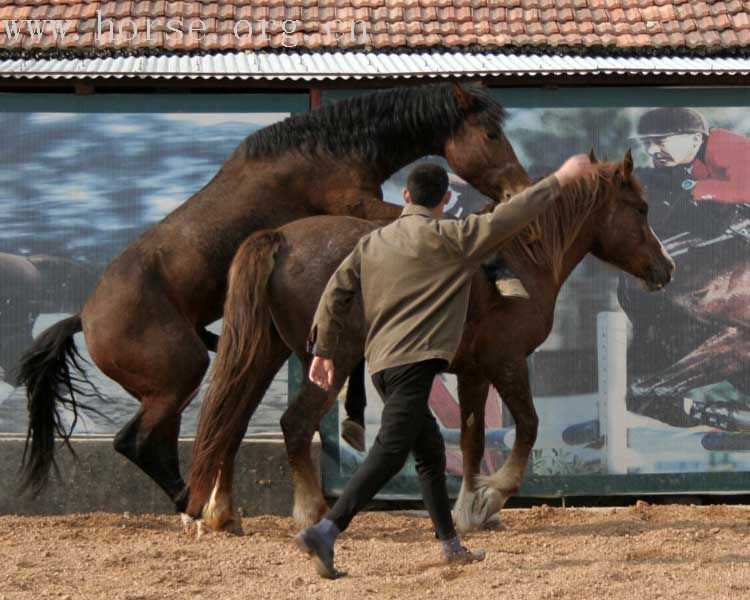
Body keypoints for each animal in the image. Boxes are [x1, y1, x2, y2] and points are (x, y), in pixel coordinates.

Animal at [19, 83, 536, 510]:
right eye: (490, 134)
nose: (520, 188)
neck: (329, 149)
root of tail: (85, 318)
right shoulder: (361, 207)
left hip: (168, 388)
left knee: (166, 440)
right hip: (179, 377)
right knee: (135, 442)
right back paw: (191, 501)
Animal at [187, 151, 676, 536]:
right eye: (641, 209)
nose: (666, 267)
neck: (520, 253)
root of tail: (280, 238)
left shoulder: (474, 372)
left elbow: (473, 439)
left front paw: (469, 508)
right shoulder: (507, 361)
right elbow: (528, 426)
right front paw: (492, 497)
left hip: (266, 355)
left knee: (230, 420)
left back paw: (222, 514)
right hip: (330, 361)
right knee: (294, 423)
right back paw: (309, 514)